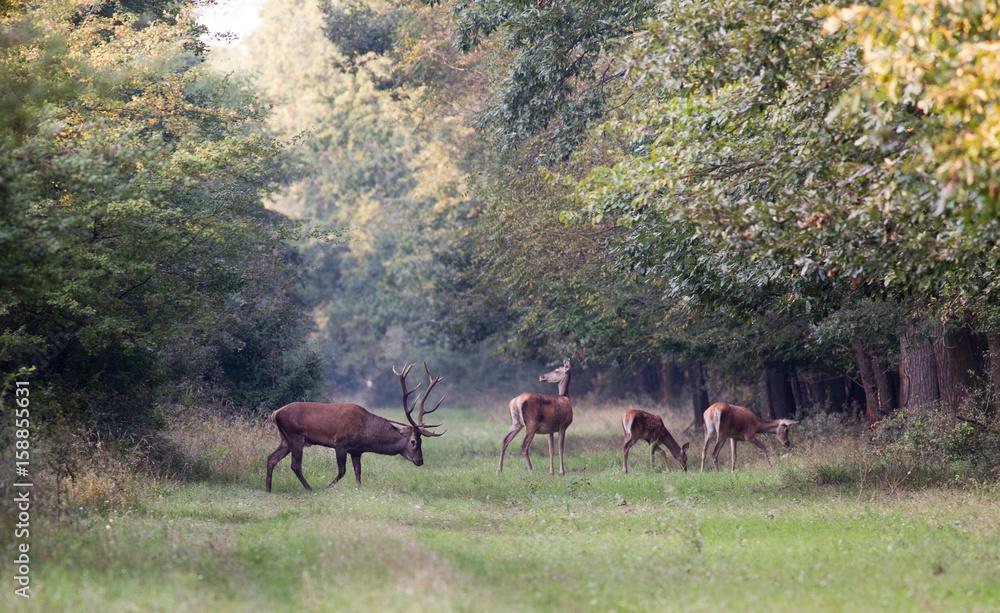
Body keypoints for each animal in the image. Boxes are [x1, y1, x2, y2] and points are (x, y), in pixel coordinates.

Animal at [265, 362, 444, 492]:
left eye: (421, 442)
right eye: (413, 442)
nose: (420, 461)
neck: (366, 434)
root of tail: (275, 413)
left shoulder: (357, 451)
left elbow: (358, 472)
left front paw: (359, 490)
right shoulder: (340, 443)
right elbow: (342, 471)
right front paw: (327, 487)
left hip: (285, 438)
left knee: (271, 458)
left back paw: (268, 488)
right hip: (295, 435)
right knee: (295, 465)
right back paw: (309, 488)